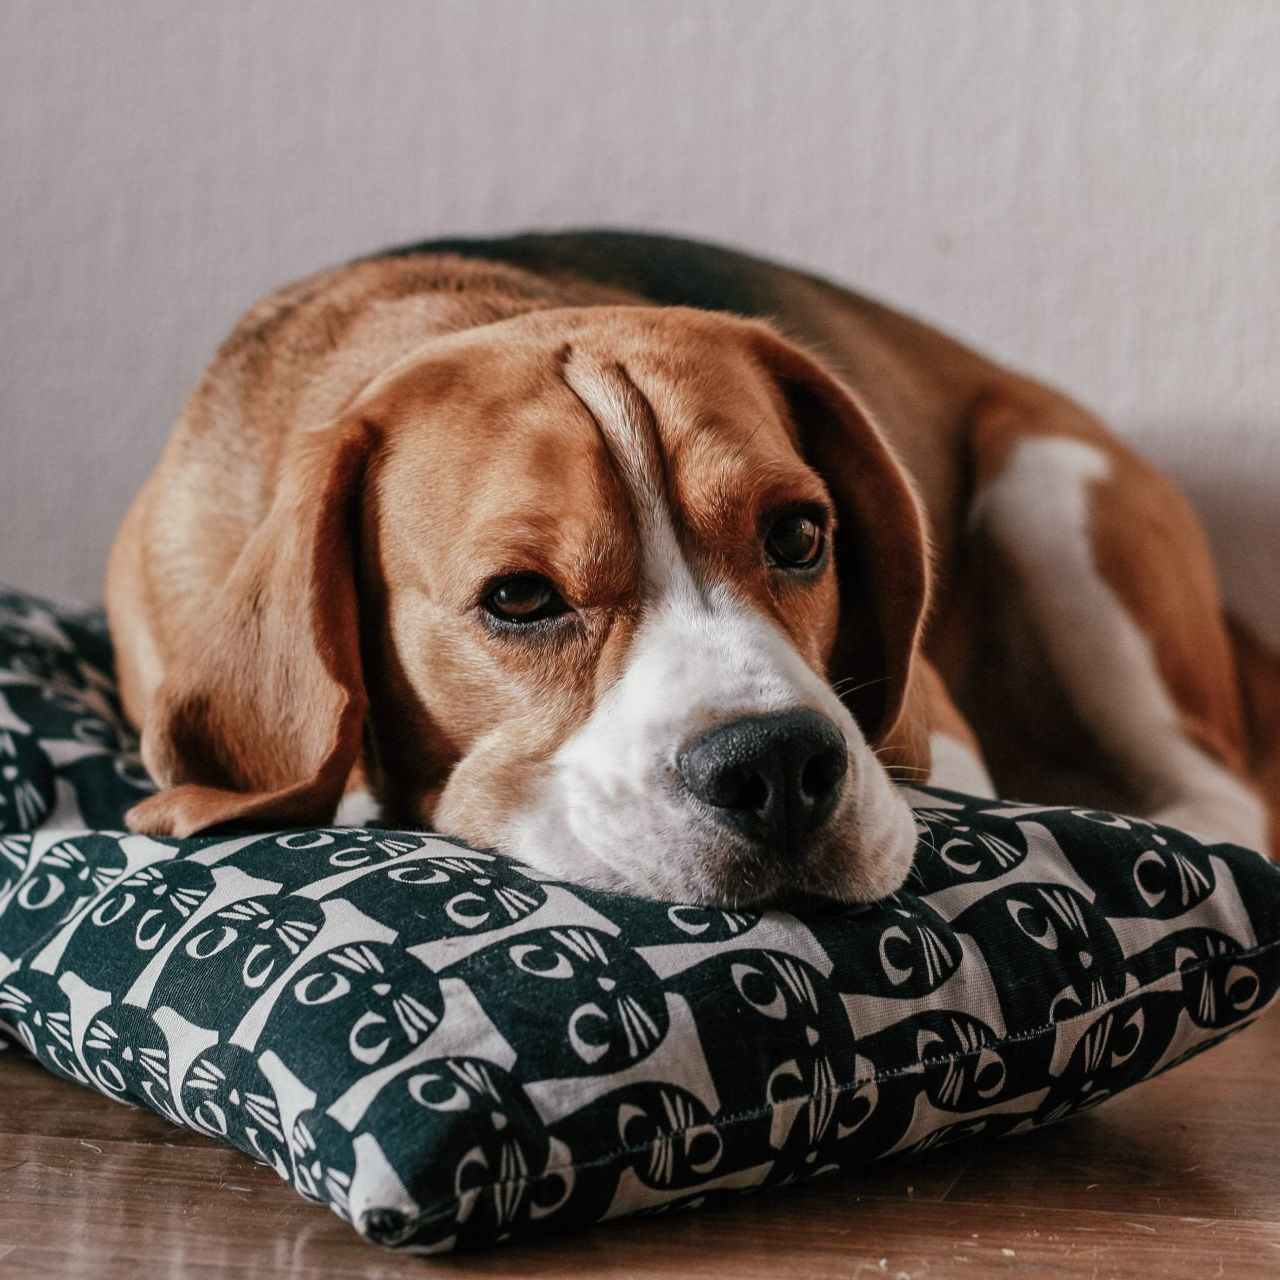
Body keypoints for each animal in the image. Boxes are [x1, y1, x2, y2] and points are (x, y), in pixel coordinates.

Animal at [110, 232, 1280, 911]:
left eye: (799, 535)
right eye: (519, 598)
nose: (778, 765)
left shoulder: (931, 727)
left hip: (1051, 484)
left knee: (1224, 799)